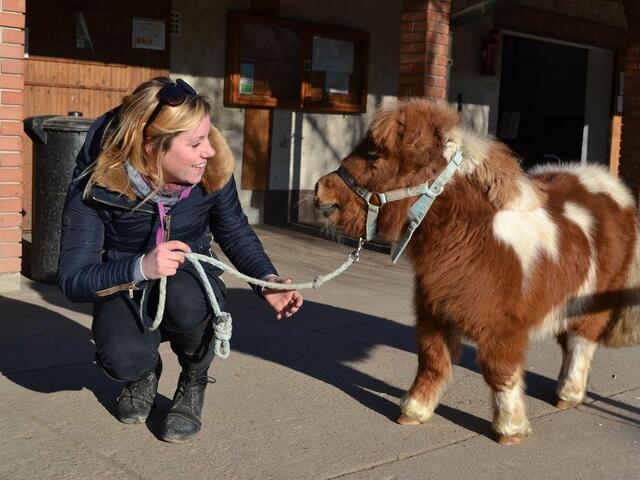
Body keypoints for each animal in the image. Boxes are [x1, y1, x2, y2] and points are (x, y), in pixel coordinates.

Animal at [314, 98, 640, 446]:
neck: (477, 238)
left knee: (582, 342)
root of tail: (614, 190)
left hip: (594, 303)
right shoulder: (434, 315)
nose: (321, 192)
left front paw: (510, 429)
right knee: (568, 342)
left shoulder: (503, 329)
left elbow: (500, 372)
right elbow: (432, 361)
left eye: (374, 154)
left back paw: (569, 394)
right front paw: (414, 411)